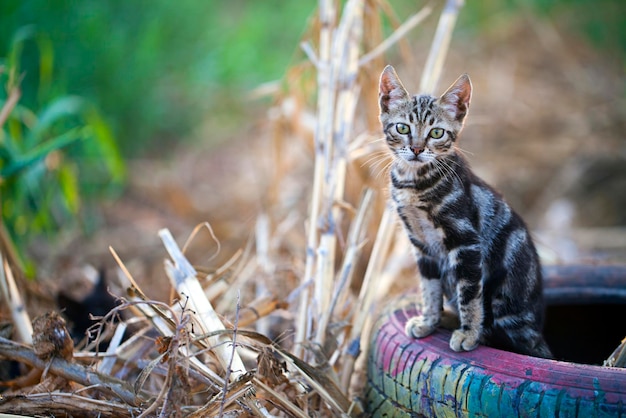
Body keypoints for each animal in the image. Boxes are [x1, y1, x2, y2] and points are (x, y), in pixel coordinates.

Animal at [378, 66, 548, 360]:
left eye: (436, 133)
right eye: (402, 128)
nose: (417, 149)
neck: (413, 182)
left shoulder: (466, 242)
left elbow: (469, 294)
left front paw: (469, 334)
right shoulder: (421, 245)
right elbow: (429, 288)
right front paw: (429, 320)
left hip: (507, 304)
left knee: (520, 341)